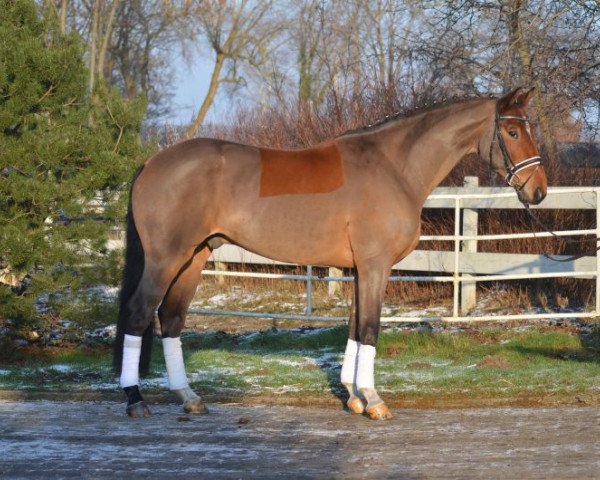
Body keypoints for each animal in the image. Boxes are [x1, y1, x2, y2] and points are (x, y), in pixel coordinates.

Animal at [113, 87, 548, 420]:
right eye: (512, 130)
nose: (539, 190)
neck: (393, 167)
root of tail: (153, 161)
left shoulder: (358, 268)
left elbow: (354, 327)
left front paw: (353, 396)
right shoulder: (376, 266)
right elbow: (370, 327)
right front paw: (374, 401)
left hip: (195, 257)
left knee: (172, 319)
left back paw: (189, 398)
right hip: (166, 258)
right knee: (139, 312)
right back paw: (135, 400)